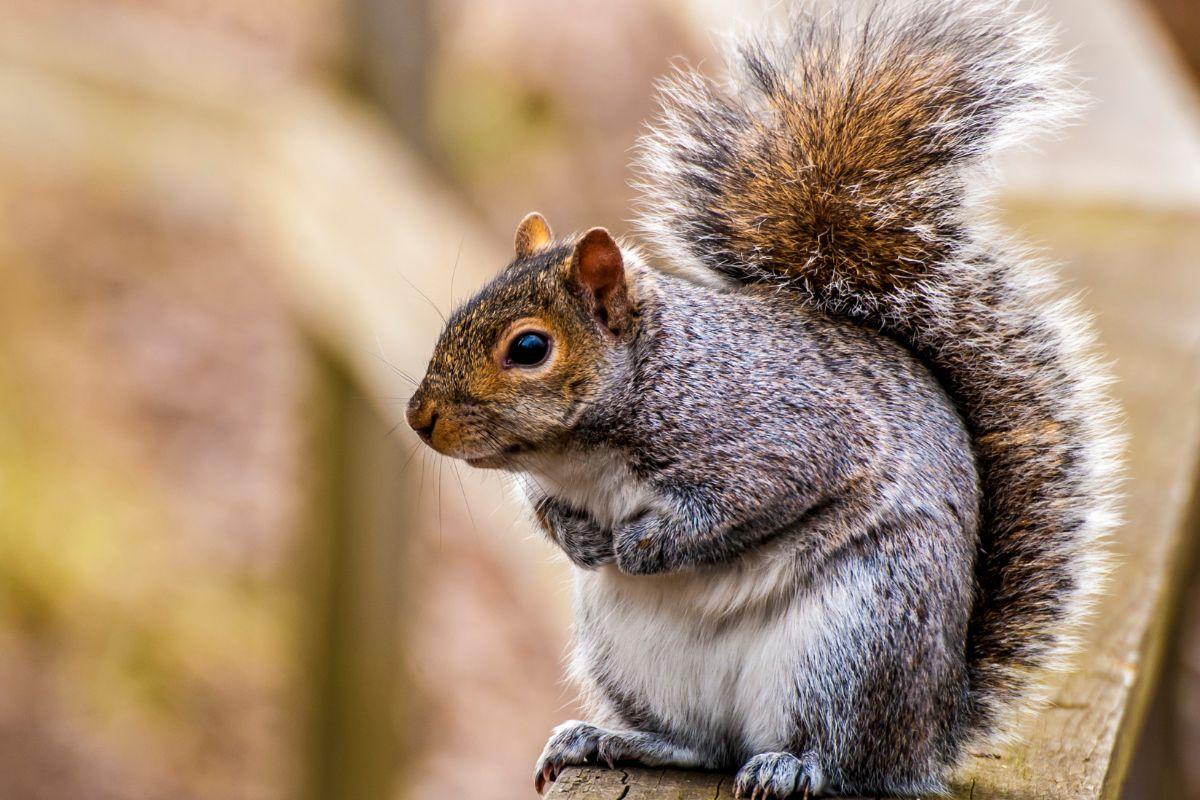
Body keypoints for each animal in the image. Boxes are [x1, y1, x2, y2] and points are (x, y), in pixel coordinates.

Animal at [405, 0, 1121, 796]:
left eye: (529, 348)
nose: (420, 418)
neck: (588, 450)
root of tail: (931, 734)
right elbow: (543, 508)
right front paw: (578, 538)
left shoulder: (779, 435)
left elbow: (742, 504)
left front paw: (644, 543)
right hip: (633, 655)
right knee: (700, 744)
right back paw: (611, 738)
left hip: (858, 639)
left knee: (844, 759)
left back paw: (791, 764)